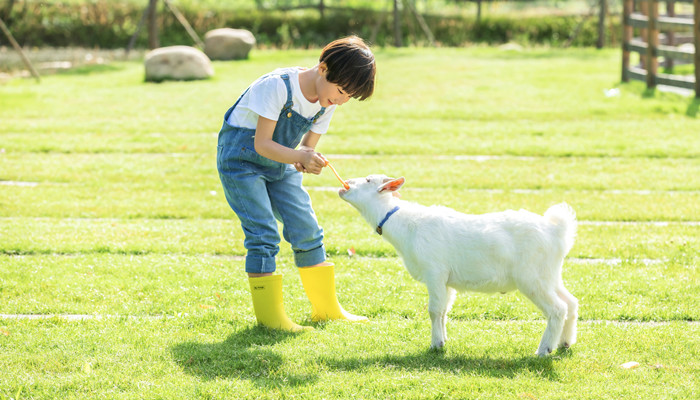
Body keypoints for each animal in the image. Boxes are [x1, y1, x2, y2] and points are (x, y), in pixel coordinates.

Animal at [340, 175, 580, 356]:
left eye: (368, 179)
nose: (345, 185)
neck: (405, 225)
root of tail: (557, 231)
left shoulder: (435, 272)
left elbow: (434, 310)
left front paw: (435, 345)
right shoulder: (446, 280)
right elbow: (444, 310)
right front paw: (443, 340)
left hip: (531, 278)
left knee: (558, 309)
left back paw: (544, 350)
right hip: (549, 275)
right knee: (571, 302)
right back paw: (565, 343)